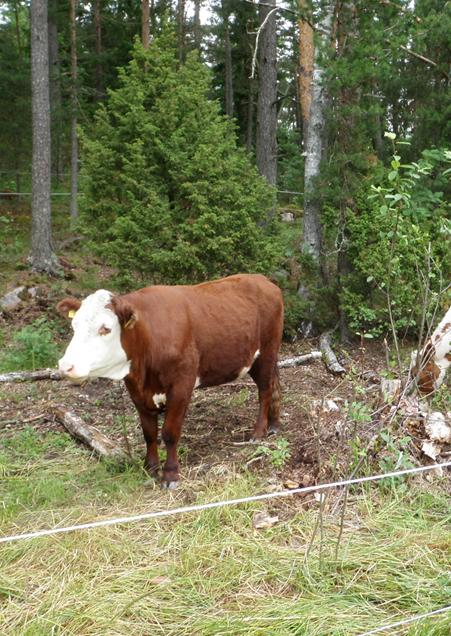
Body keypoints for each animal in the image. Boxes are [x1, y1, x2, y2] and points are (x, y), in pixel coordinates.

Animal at [55, 274, 282, 486]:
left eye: (105, 328)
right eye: (74, 325)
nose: (65, 365)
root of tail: (263, 280)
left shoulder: (182, 385)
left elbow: (170, 432)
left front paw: (171, 474)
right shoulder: (136, 390)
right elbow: (149, 432)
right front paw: (150, 468)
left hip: (267, 352)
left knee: (265, 390)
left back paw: (259, 431)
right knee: (274, 385)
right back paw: (274, 424)